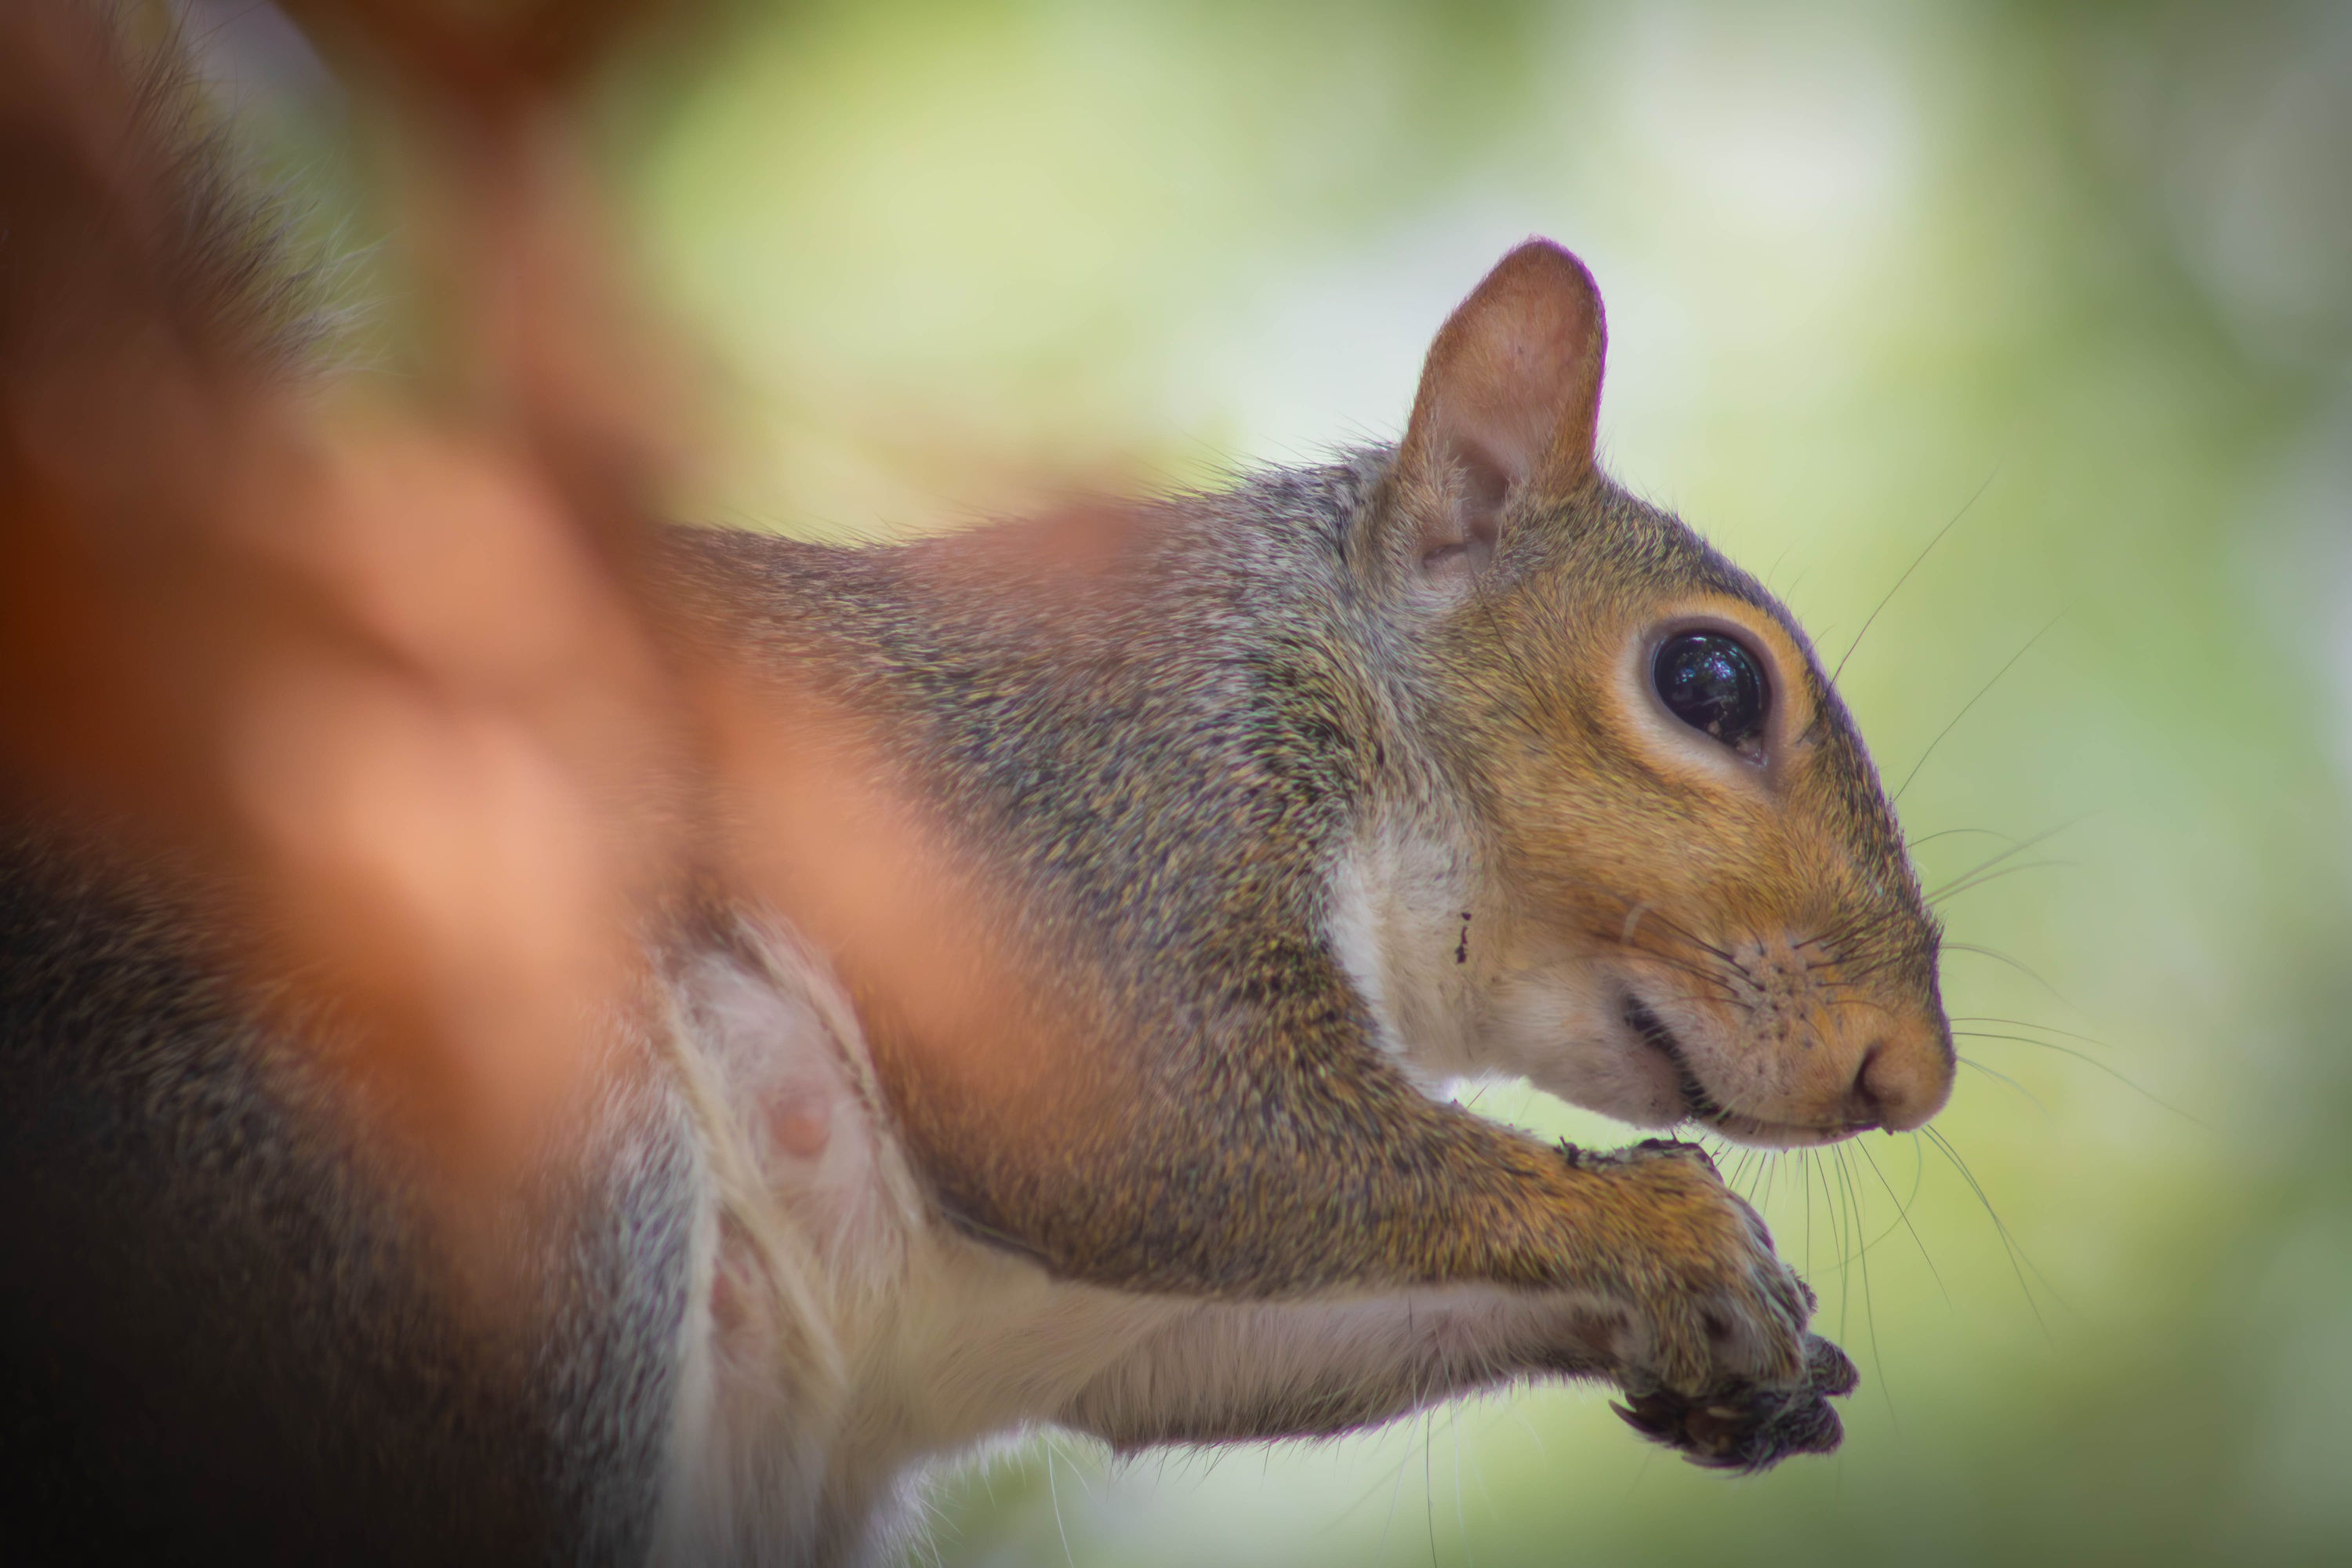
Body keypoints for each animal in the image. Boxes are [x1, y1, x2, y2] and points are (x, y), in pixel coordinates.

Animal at [0, 7, 1955, 1565]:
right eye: (1707, 682)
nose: (1912, 1075)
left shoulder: (1108, 1323)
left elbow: (1245, 1321)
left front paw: (1741, 1341)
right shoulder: (1094, 804)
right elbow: (1151, 1113)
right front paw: (1666, 1219)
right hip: (464, 1184)